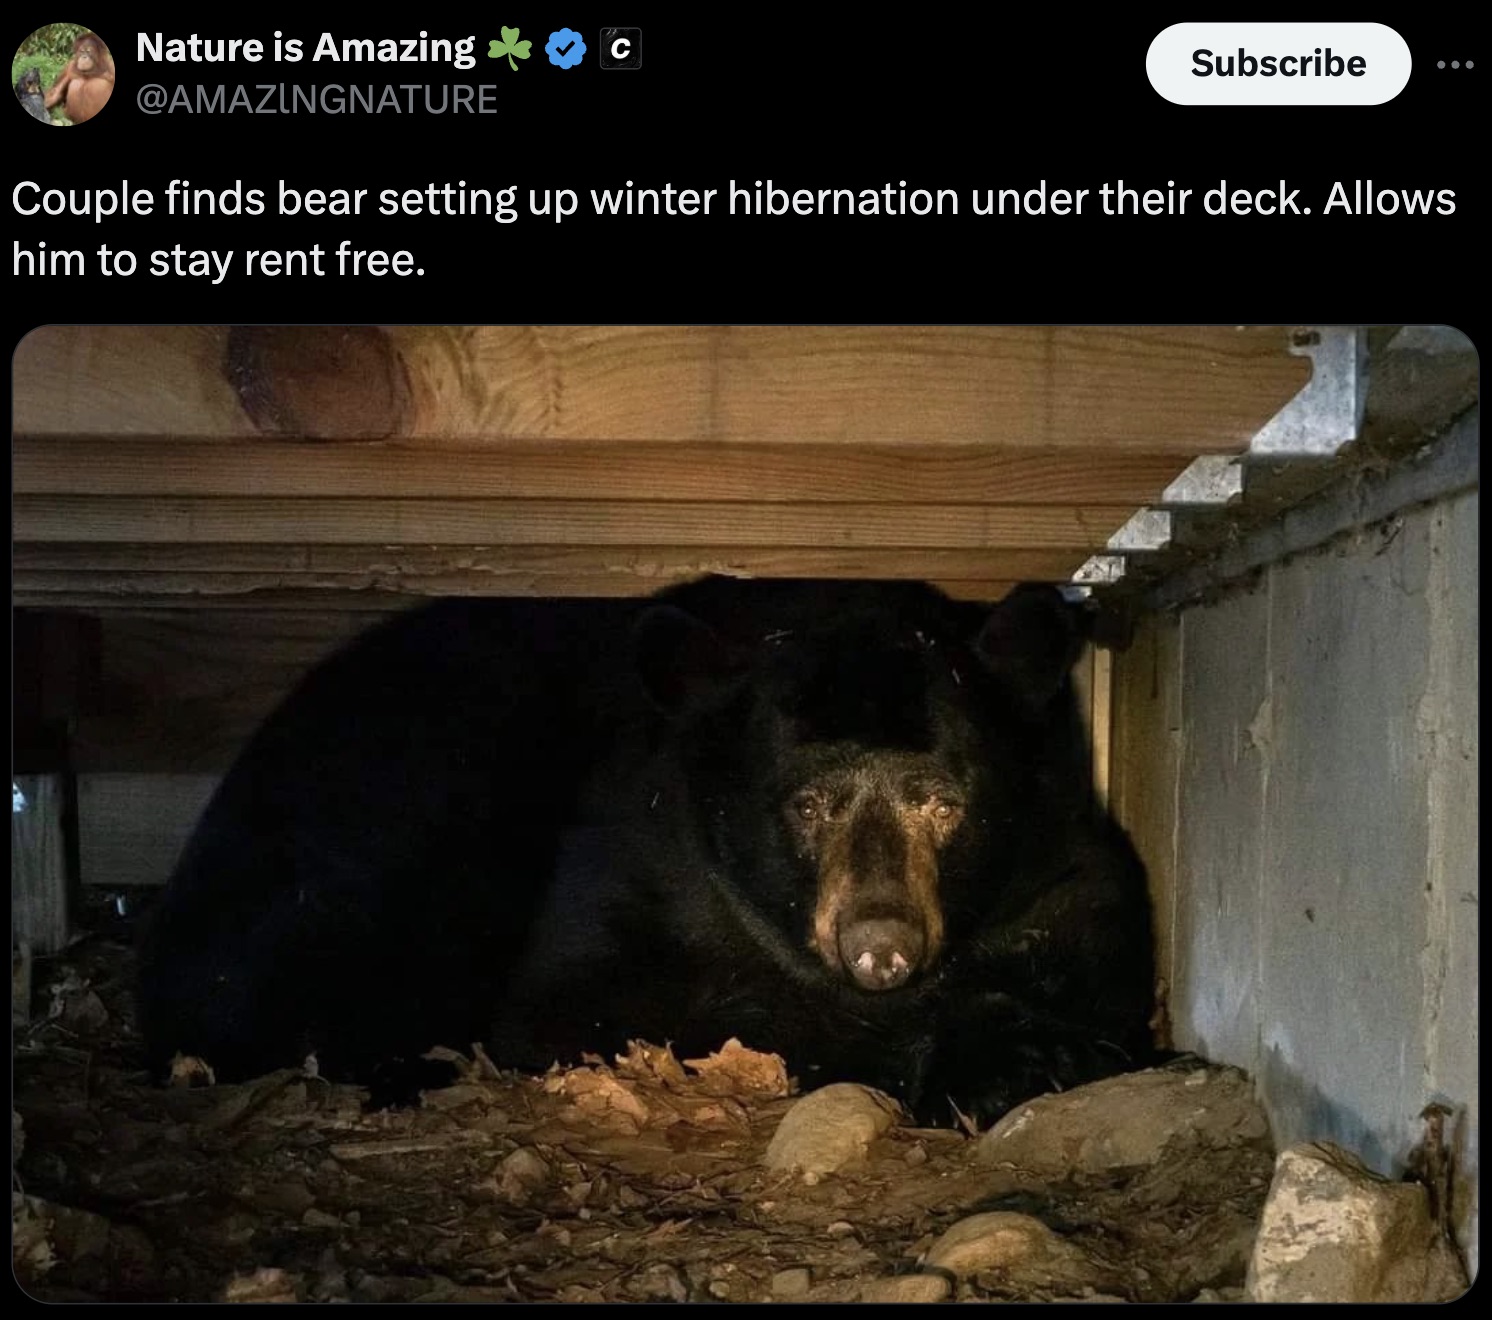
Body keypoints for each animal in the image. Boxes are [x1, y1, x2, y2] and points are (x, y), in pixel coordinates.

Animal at [140, 575, 1157, 1121]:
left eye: (943, 801)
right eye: (807, 804)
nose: (881, 944)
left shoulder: (1059, 857)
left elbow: (1099, 954)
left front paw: (1037, 1045)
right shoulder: (634, 855)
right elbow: (599, 1003)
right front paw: (989, 1056)